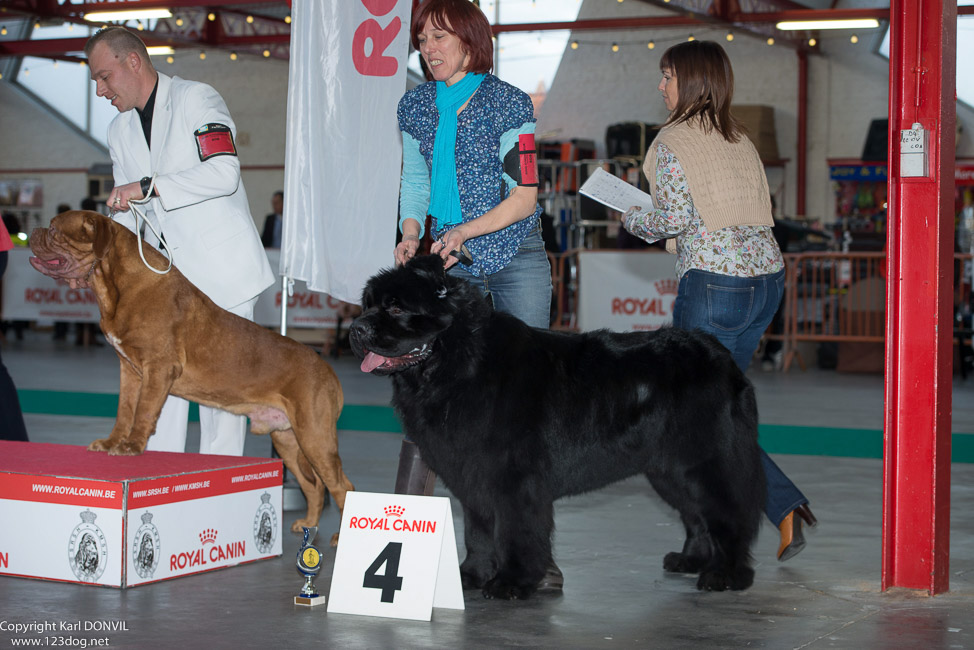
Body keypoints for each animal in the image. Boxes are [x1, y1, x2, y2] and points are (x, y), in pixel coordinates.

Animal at [30, 211, 354, 540]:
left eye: (55, 231)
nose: (33, 232)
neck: (115, 284)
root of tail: (327, 369)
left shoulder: (158, 367)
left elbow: (143, 410)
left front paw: (131, 447)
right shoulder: (129, 370)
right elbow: (125, 410)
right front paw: (112, 443)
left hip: (315, 435)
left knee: (341, 485)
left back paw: (339, 537)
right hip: (286, 438)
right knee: (314, 486)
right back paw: (308, 525)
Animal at [352, 254, 772, 596]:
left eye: (396, 307)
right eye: (369, 304)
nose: (356, 328)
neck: (459, 363)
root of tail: (723, 358)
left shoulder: (513, 478)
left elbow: (515, 531)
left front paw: (511, 582)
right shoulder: (473, 475)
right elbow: (478, 531)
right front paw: (471, 575)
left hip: (704, 462)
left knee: (728, 513)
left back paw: (726, 575)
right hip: (668, 470)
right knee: (695, 514)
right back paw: (691, 561)